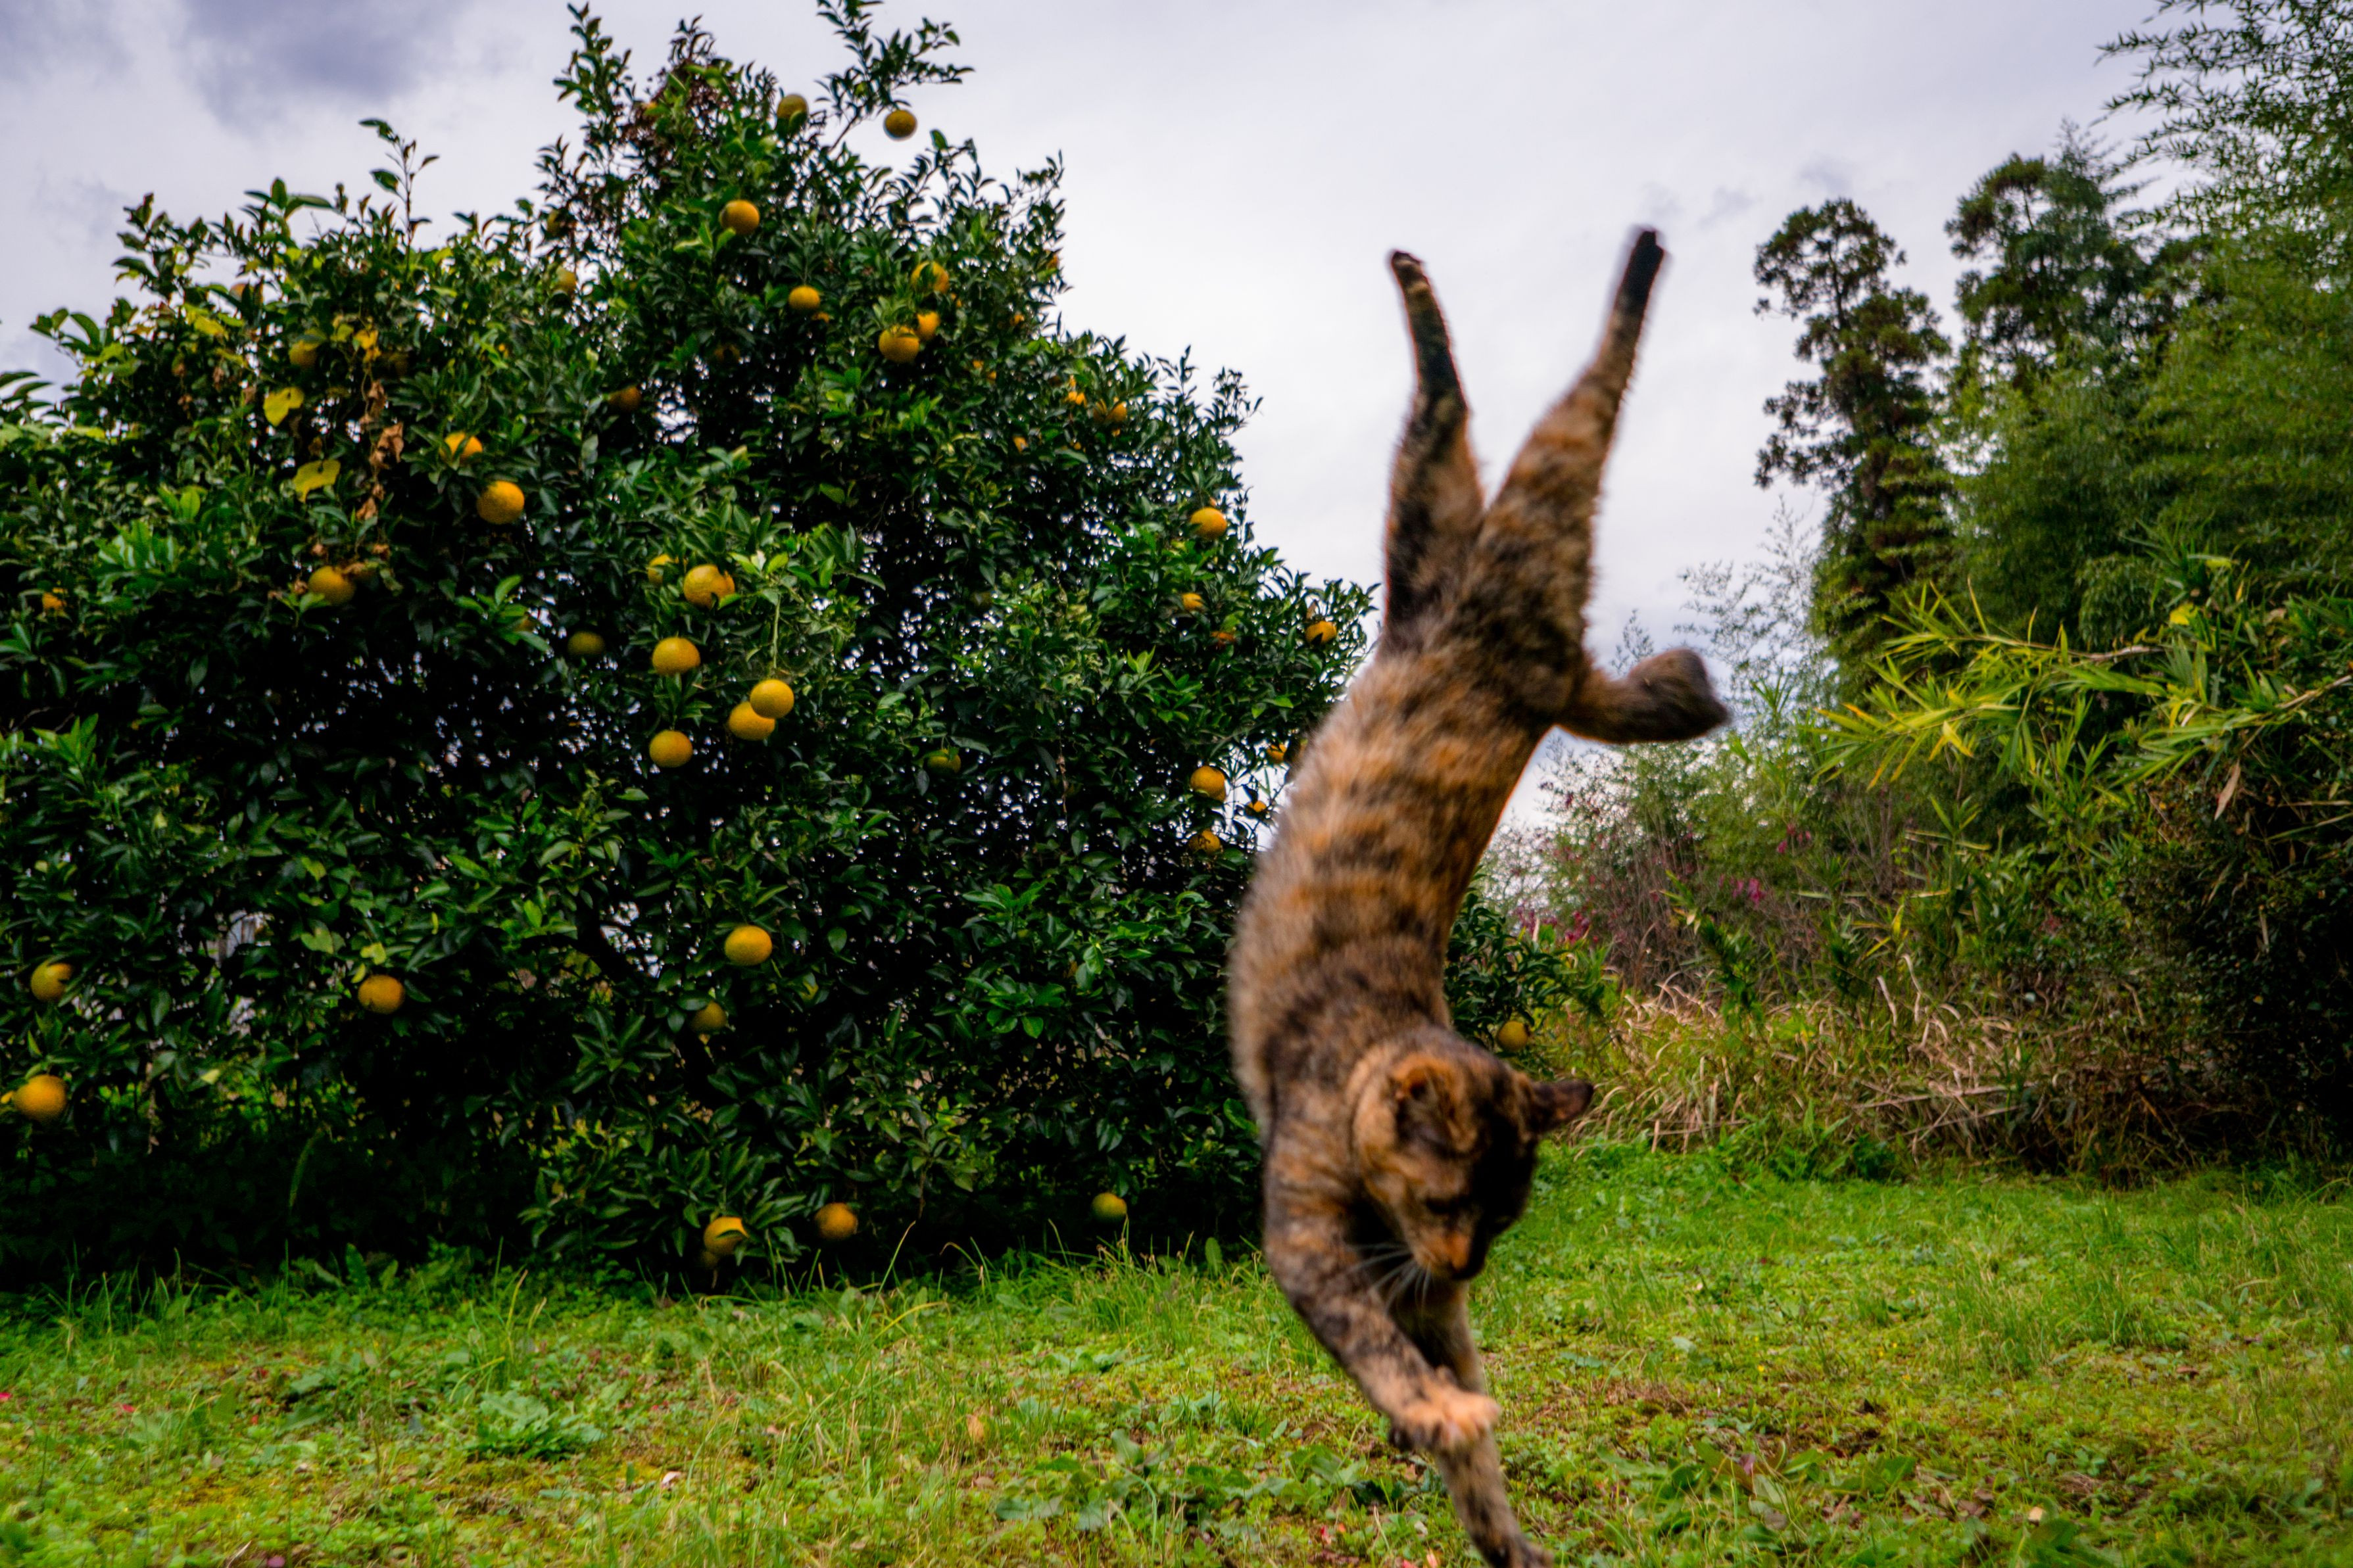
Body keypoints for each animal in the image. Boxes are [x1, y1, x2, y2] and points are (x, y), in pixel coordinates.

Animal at [1227, 230, 1727, 1568]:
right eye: (1457, 1203)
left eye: (1503, 1222)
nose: (1467, 1265)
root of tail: (1523, 668)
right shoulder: (1312, 1240)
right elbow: (1386, 1357)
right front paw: (1439, 1422)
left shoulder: (1415, 1287)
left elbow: (1449, 1400)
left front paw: (1492, 1515)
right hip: (1469, 542)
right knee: (1536, 422)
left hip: (1445, 542)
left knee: (1484, 420)